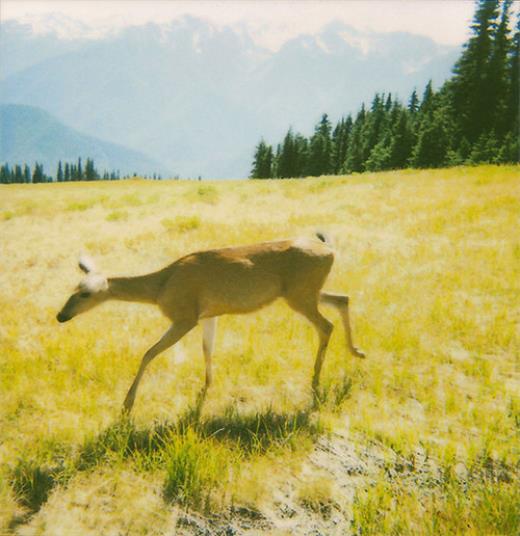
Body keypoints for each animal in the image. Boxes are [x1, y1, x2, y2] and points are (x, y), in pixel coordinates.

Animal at [57, 232, 364, 412]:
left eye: (85, 293)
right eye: (73, 288)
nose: (61, 316)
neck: (160, 288)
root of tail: (330, 248)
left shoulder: (185, 316)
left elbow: (148, 353)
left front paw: (127, 403)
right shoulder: (209, 314)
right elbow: (207, 349)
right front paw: (206, 387)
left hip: (299, 294)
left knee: (326, 325)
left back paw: (316, 379)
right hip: (305, 291)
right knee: (343, 299)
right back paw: (357, 351)